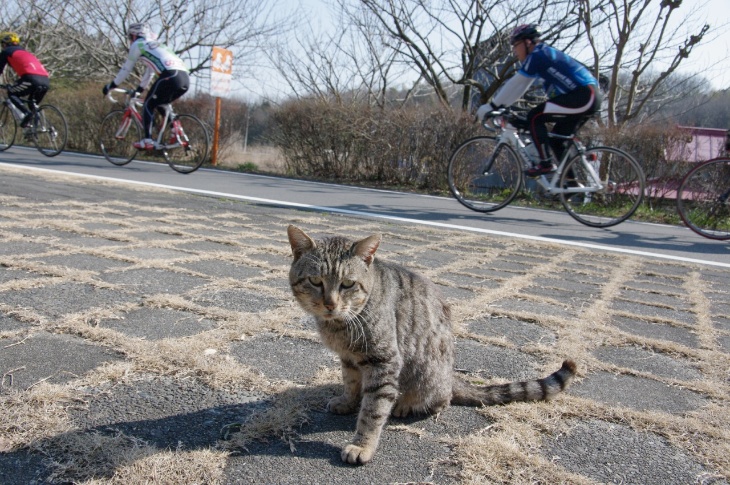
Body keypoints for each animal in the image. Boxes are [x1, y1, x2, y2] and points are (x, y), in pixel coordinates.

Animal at [284, 225, 576, 464]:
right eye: (315, 281)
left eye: (347, 284)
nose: (330, 304)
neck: (340, 325)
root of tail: (451, 375)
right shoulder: (349, 358)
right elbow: (351, 382)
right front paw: (347, 401)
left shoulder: (384, 360)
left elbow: (372, 410)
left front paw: (362, 446)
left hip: (428, 374)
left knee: (441, 400)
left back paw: (405, 405)